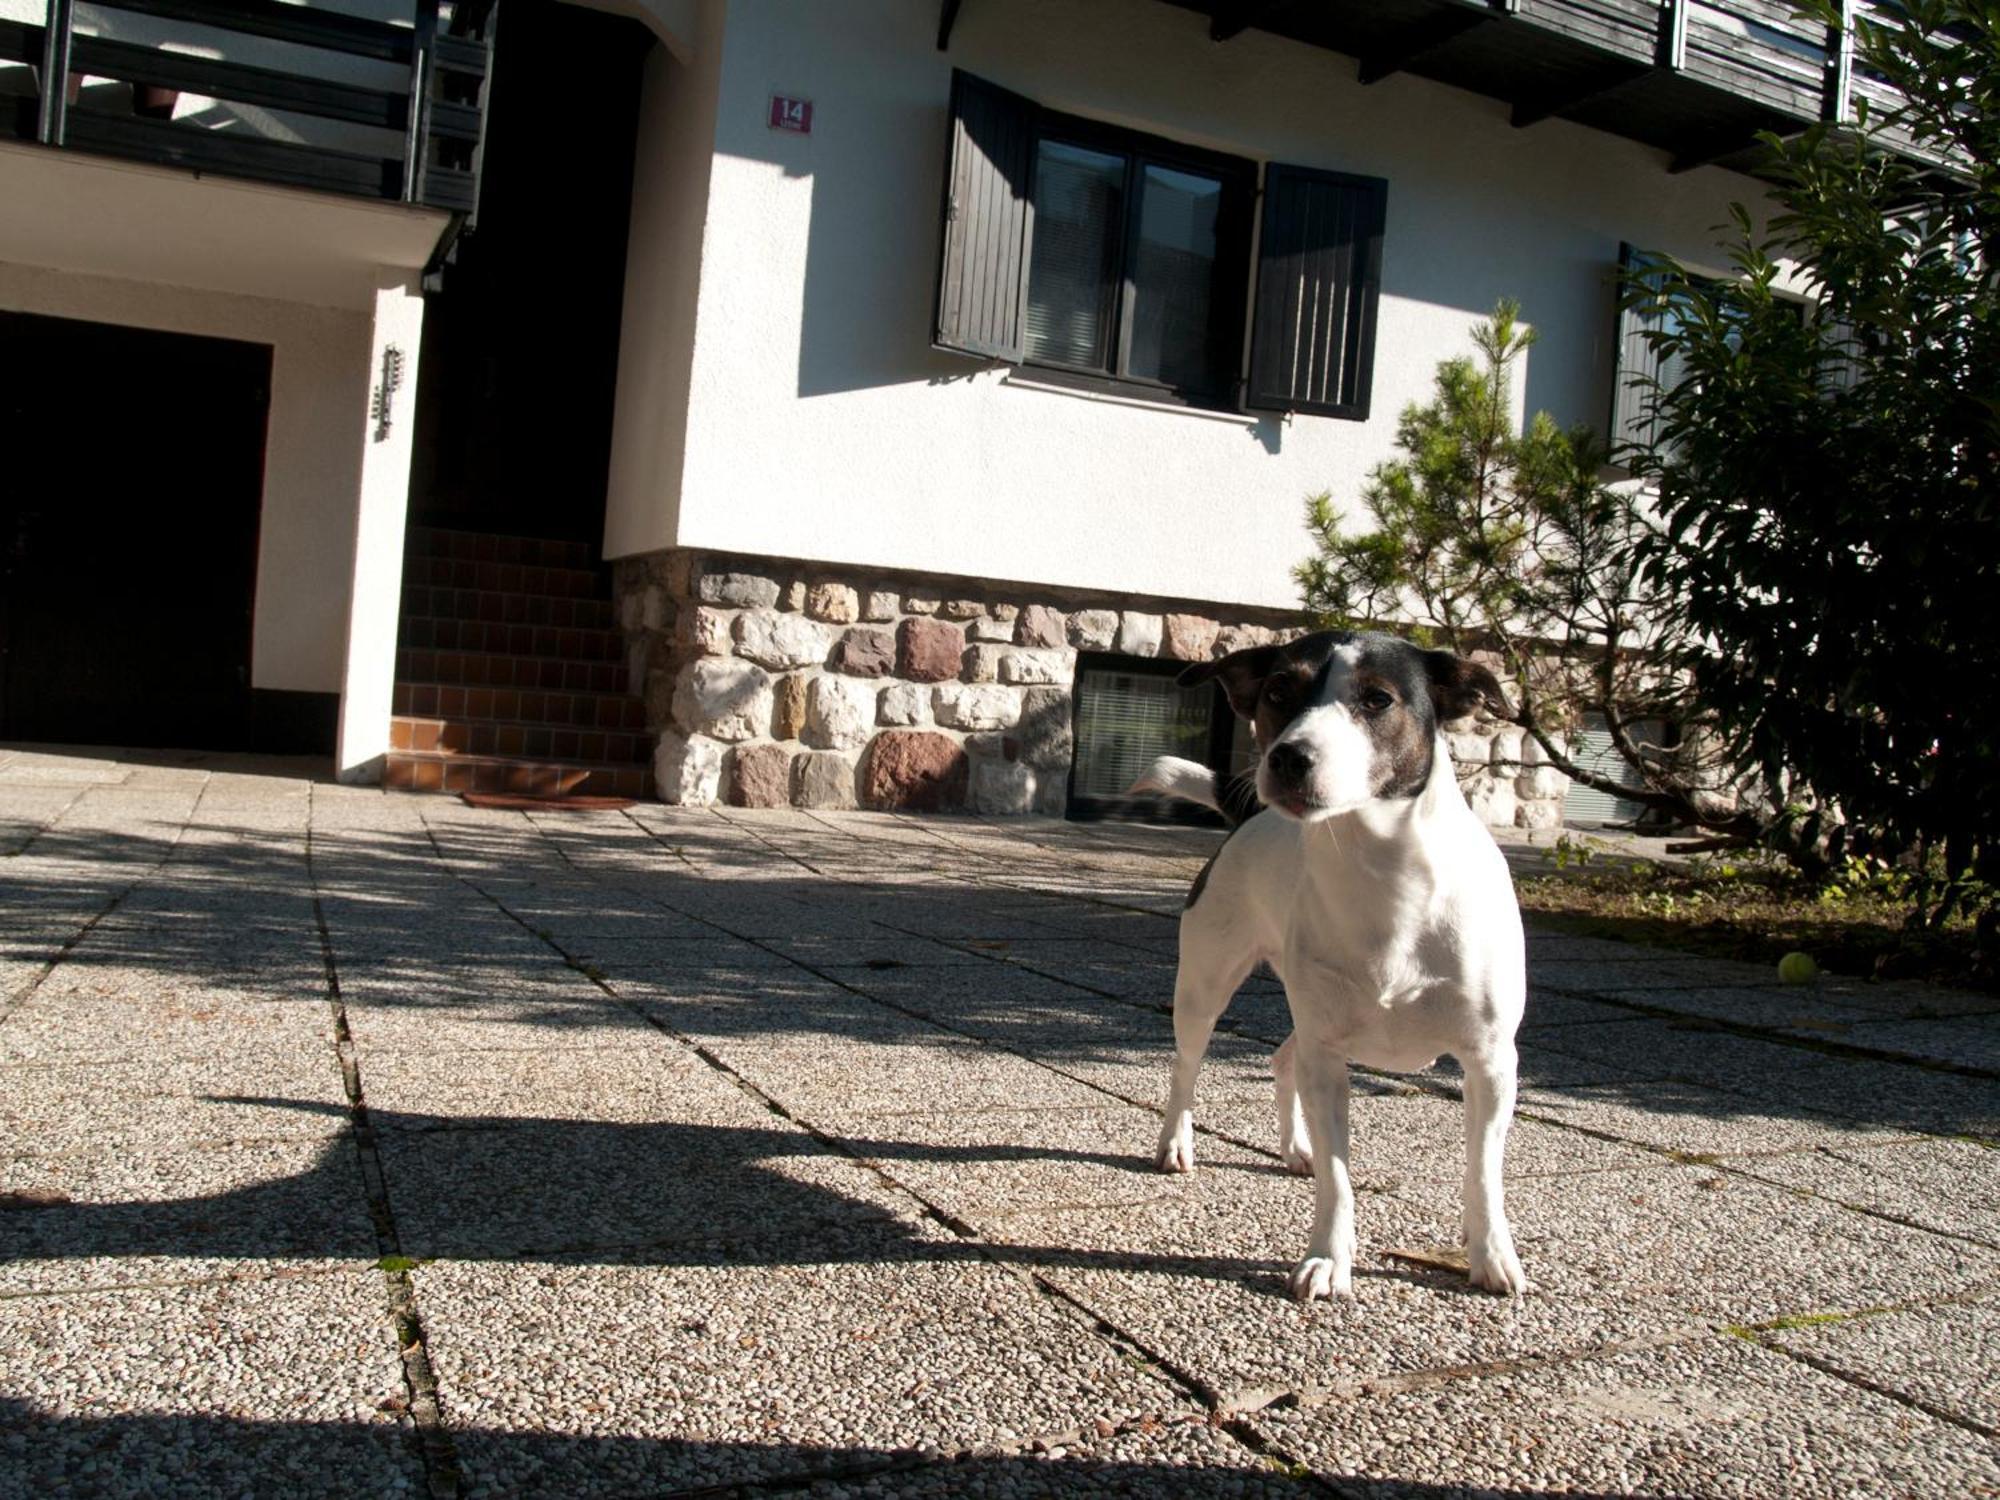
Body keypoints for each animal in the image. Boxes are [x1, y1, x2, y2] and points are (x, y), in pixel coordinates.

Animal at [1136, 628, 1520, 1296]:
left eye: (1377, 699)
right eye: (1278, 690)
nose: (1288, 757)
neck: (1385, 879)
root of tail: (1249, 817)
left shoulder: (1493, 1064)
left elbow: (1482, 1173)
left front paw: (1491, 1253)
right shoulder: (1328, 1056)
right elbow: (1338, 1179)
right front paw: (1328, 1259)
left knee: (1281, 1056)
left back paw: (1295, 1148)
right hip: (1205, 988)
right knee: (1188, 1067)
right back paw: (1178, 1142)